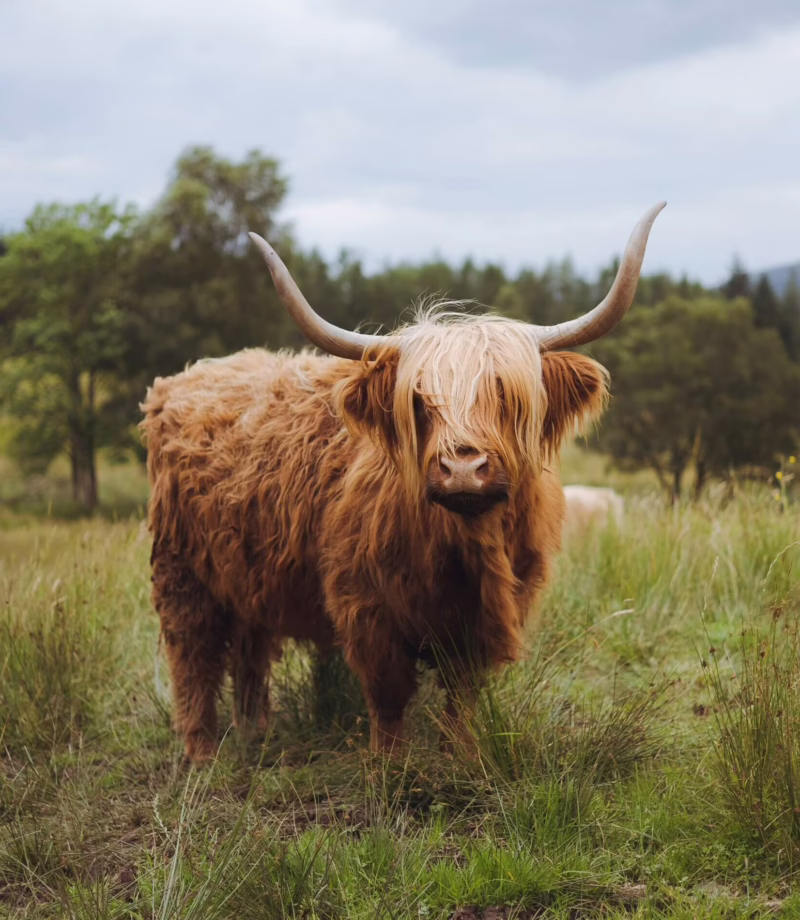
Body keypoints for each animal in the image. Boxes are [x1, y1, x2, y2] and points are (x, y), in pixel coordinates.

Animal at [140, 202, 665, 763]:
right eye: (418, 399)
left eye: (504, 393)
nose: (463, 469)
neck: (464, 549)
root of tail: (189, 376)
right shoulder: (367, 609)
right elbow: (389, 697)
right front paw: (391, 768)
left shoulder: (486, 618)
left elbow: (462, 697)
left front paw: (462, 757)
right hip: (181, 572)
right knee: (192, 657)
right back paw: (202, 754)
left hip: (246, 573)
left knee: (250, 650)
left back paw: (254, 733)